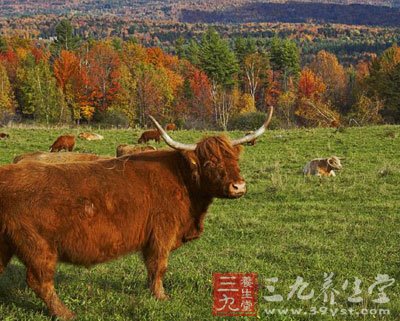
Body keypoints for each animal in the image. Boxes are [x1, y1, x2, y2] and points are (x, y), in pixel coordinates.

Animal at [0, 108, 274, 320]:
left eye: (234, 161)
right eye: (210, 163)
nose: (239, 186)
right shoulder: (162, 233)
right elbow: (159, 266)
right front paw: (161, 296)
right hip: (37, 246)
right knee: (40, 281)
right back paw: (65, 313)